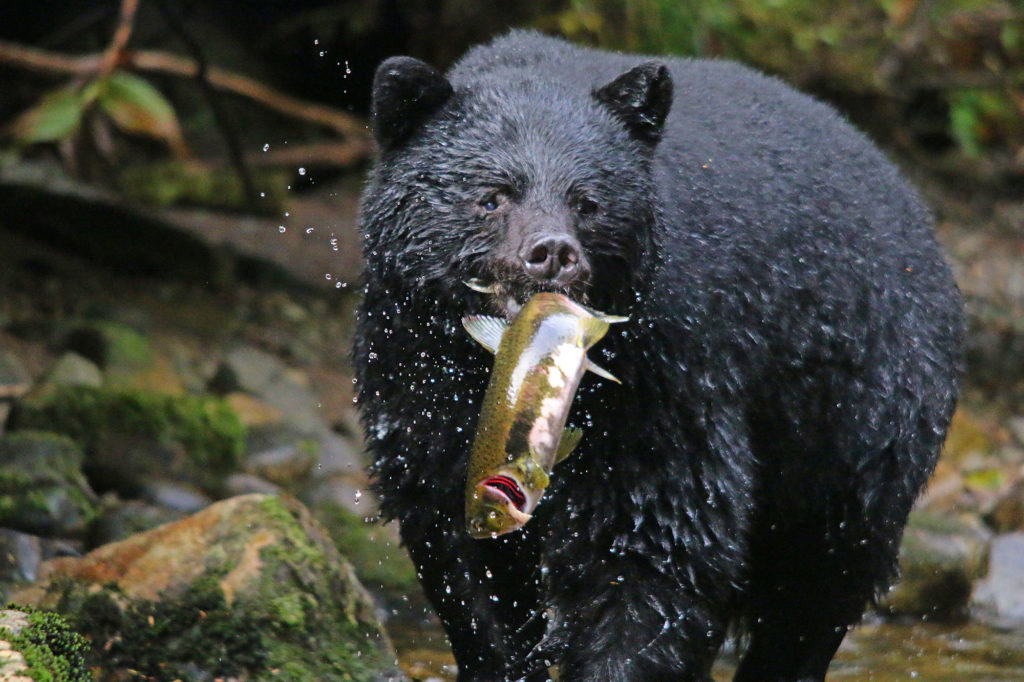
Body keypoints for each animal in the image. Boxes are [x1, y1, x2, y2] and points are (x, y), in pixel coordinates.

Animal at [353, 30, 963, 682]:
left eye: (588, 202)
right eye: (491, 197)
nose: (552, 252)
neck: (490, 367)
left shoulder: (668, 373)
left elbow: (657, 542)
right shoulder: (412, 368)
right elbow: (460, 547)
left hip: (859, 416)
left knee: (819, 582)